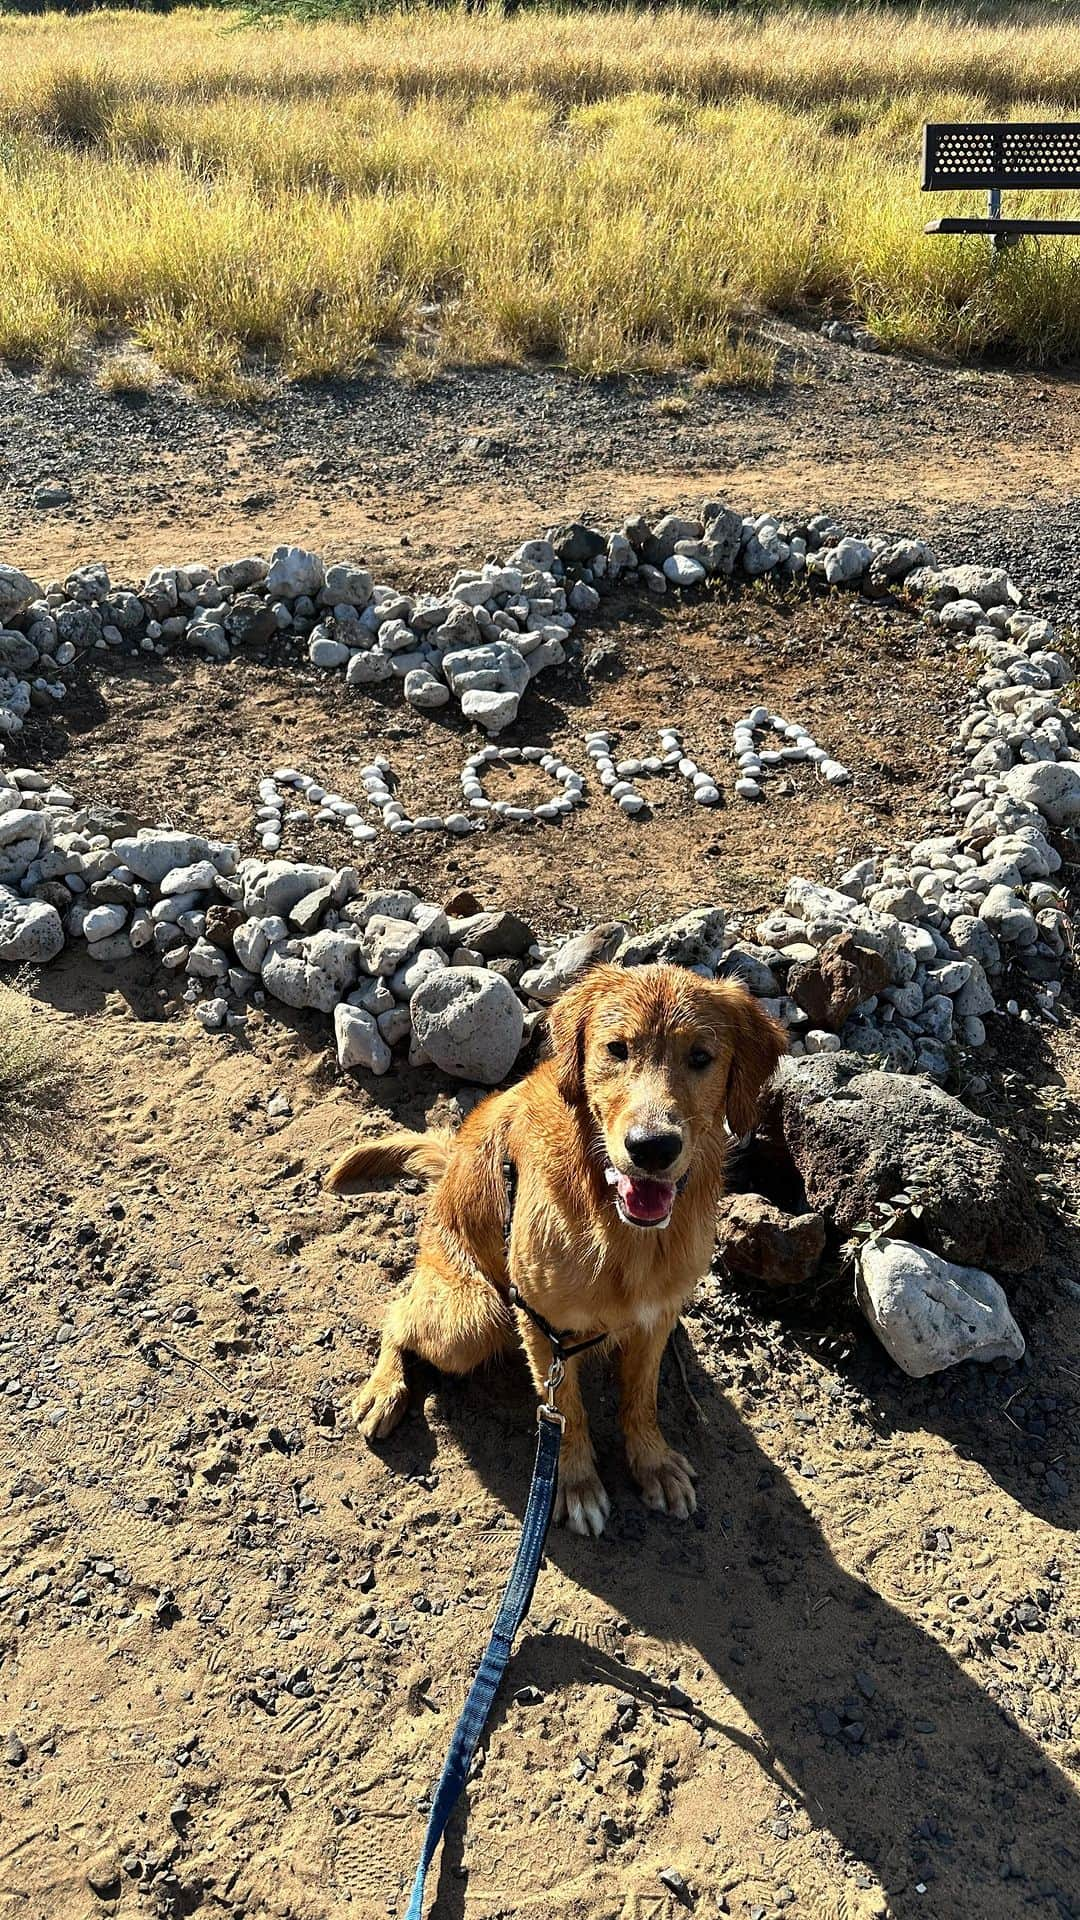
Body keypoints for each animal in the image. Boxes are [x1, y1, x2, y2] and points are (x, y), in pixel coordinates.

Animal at [326, 967, 780, 1536]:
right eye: (616, 1048)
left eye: (701, 1056)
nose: (652, 1148)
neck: (617, 1226)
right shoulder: (543, 1327)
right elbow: (567, 1410)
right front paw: (578, 1484)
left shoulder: (657, 1317)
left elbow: (642, 1399)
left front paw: (652, 1463)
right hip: (476, 1317)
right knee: (398, 1314)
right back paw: (384, 1389)